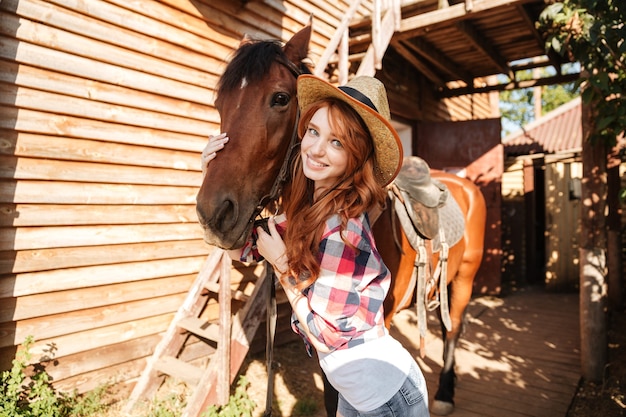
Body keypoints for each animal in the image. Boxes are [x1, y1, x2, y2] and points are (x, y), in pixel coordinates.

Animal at [195, 24, 482, 414]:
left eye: (280, 98)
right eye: (219, 104)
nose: (214, 214)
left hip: (466, 277)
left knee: (453, 329)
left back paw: (445, 393)